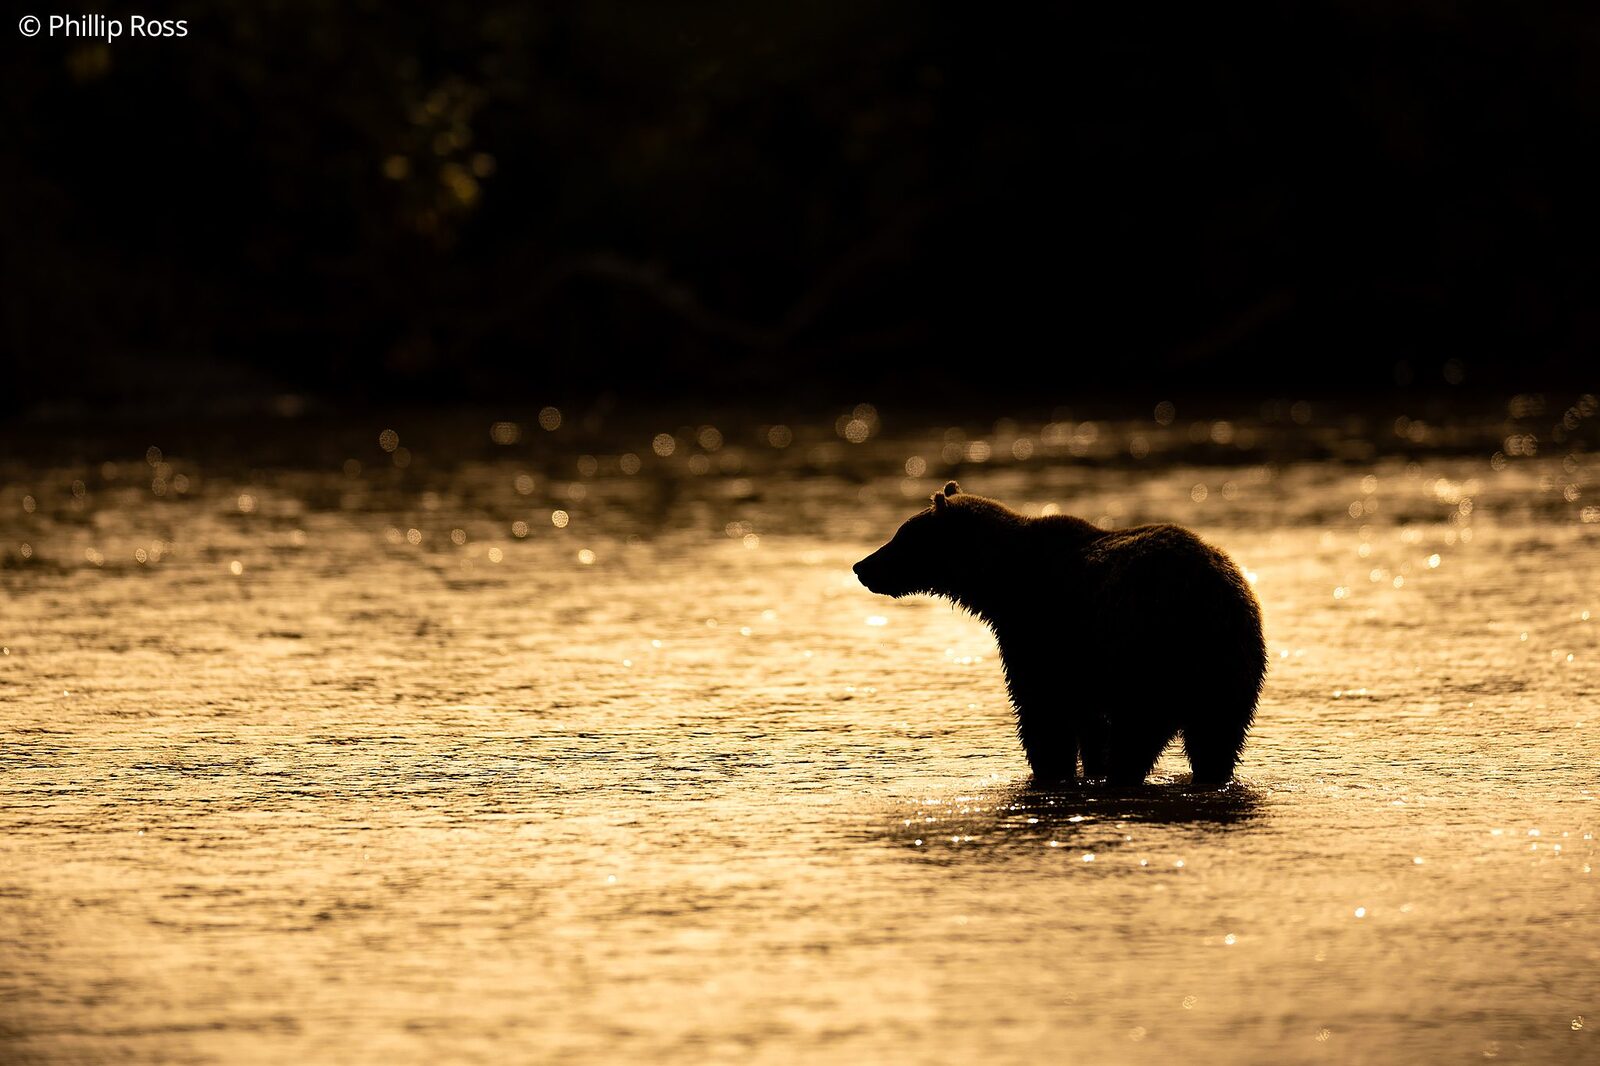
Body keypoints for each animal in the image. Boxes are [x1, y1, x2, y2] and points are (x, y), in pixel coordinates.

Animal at [854, 482, 1266, 786]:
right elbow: (1087, 723)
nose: (861, 566)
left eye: (901, 536)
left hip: (1150, 656)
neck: (998, 583)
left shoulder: (1043, 631)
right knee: (1217, 739)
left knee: (1138, 735)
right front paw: (1088, 766)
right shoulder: (1080, 664)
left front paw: (1051, 770)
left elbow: (1042, 711)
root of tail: (1214, 598)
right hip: (1228, 668)